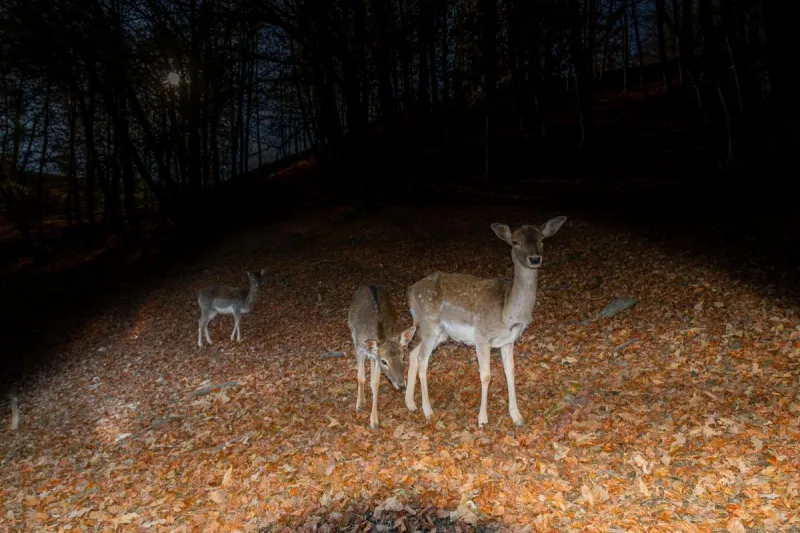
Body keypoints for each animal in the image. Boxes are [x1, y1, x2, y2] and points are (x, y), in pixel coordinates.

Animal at [348, 284, 417, 429]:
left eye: (403, 357)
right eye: (384, 361)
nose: (402, 385)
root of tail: (368, 285)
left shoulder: (375, 357)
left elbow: (375, 383)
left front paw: (373, 420)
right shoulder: (359, 348)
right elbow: (360, 377)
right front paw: (360, 404)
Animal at [404, 216, 567, 428]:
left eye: (542, 239)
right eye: (515, 242)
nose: (534, 259)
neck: (508, 312)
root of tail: (410, 291)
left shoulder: (508, 341)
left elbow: (510, 372)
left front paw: (517, 416)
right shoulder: (482, 337)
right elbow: (486, 376)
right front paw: (482, 419)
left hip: (439, 333)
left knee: (413, 353)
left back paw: (410, 403)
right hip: (429, 324)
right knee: (423, 359)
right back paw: (428, 411)